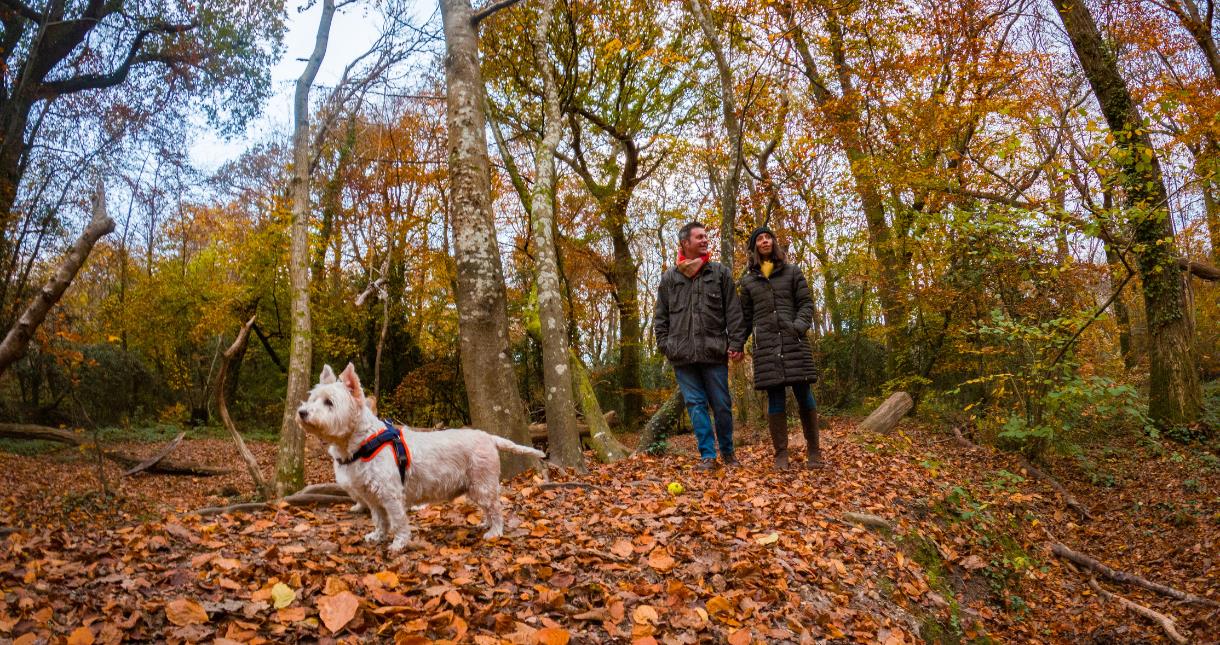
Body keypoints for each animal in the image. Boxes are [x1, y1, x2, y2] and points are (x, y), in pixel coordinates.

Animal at [295, 360, 544, 548]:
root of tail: (489, 437)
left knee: (496, 507)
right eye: (312, 398)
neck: (361, 442)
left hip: (482, 482)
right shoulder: (372, 497)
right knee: (488, 508)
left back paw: (495, 532)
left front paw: (398, 544)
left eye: (329, 402)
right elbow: (379, 520)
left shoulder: (391, 493)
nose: (302, 412)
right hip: (474, 486)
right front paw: (377, 537)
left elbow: (397, 521)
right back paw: (485, 524)